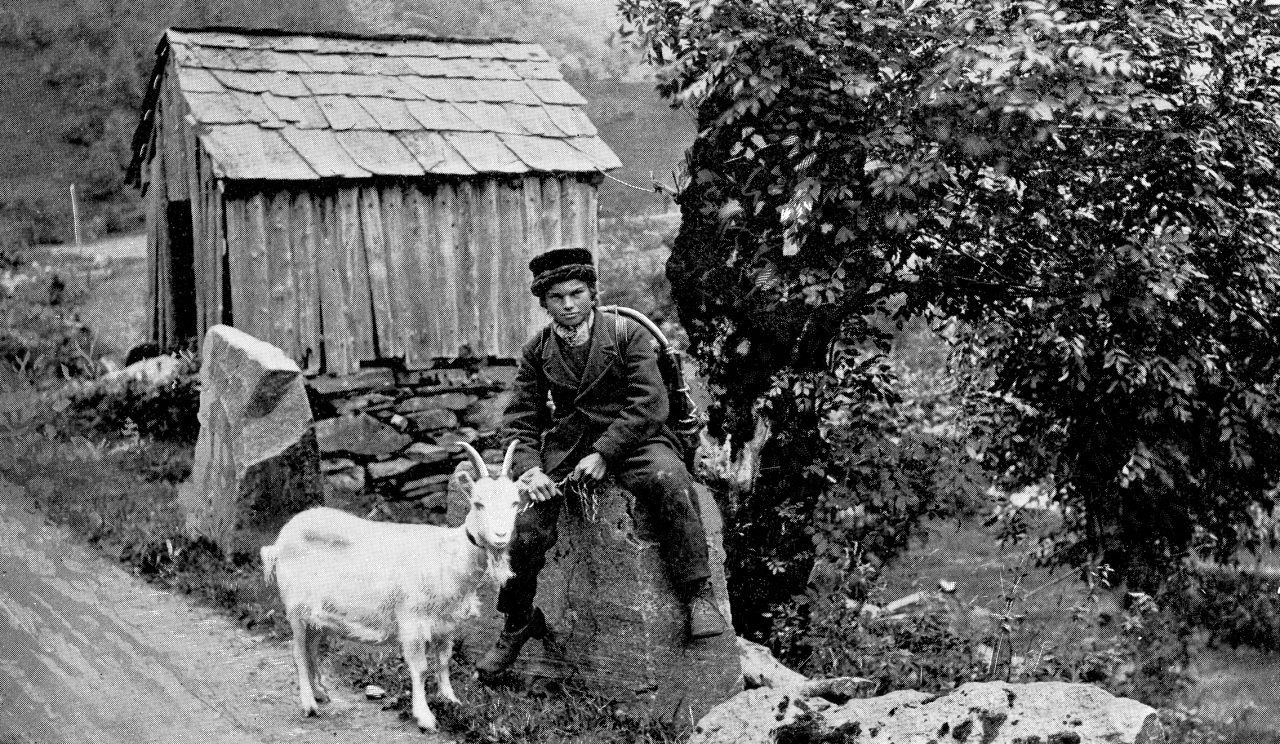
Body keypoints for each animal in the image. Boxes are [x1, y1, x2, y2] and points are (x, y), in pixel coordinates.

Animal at [262, 440, 522, 732]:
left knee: (311, 648)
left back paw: (320, 692)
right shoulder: (412, 619)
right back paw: (309, 704)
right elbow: (420, 667)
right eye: (478, 503)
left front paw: (451, 700)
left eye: (515, 503)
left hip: (317, 614)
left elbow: (444, 661)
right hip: (295, 605)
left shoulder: (447, 623)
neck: (447, 554)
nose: (501, 537)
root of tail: (280, 541)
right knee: (298, 651)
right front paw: (425, 716)